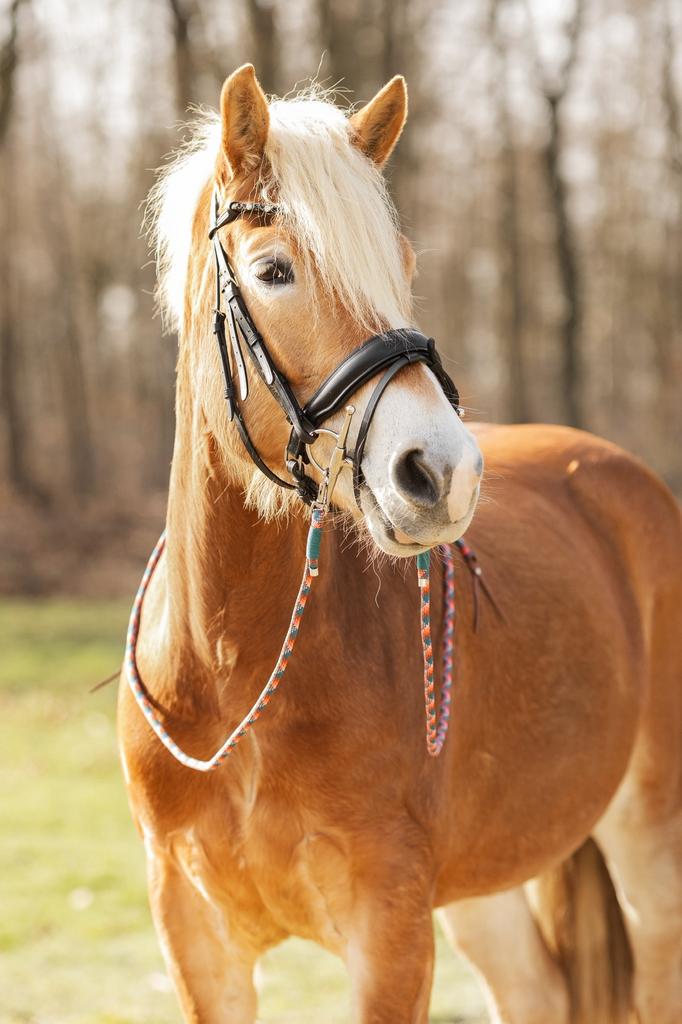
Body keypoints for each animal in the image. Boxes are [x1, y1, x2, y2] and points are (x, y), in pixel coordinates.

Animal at [118, 65, 682, 1024]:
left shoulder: (388, 932)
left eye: (403, 266)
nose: (444, 473)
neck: (233, 680)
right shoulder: (195, 941)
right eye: (273, 270)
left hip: (650, 847)